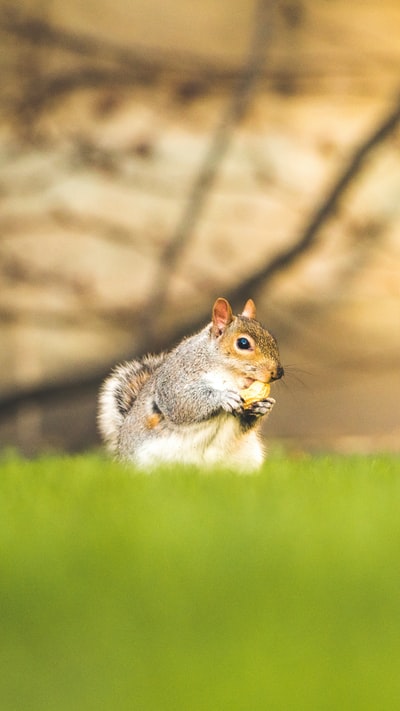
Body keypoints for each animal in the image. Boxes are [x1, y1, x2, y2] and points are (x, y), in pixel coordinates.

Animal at [98, 298, 282, 472]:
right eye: (243, 343)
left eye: (273, 339)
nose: (279, 372)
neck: (228, 375)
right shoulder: (174, 380)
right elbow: (182, 403)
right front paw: (223, 397)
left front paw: (264, 406)